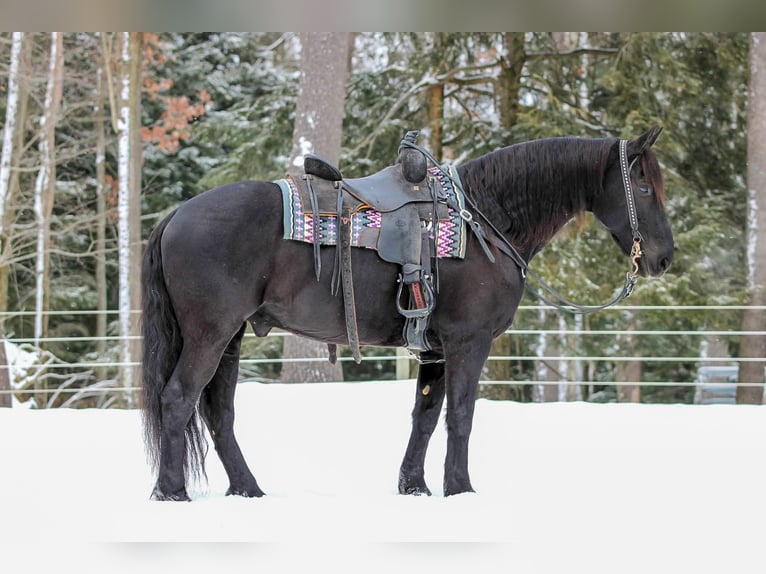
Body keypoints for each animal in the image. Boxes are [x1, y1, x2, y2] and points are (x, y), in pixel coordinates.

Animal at [141, 127, 674, 501]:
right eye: (645, 187)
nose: (663, 258)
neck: (486, 221)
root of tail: (177, 214)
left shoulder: (434, 350)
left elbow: (426, 416)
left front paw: (415, 486)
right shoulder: (468, 343)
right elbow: (460, 415)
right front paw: (461, 488)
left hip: (229, 339)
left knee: (219, 412)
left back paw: (248, 489)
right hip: (210, 334)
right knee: (178, 398)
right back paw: (172, 491)